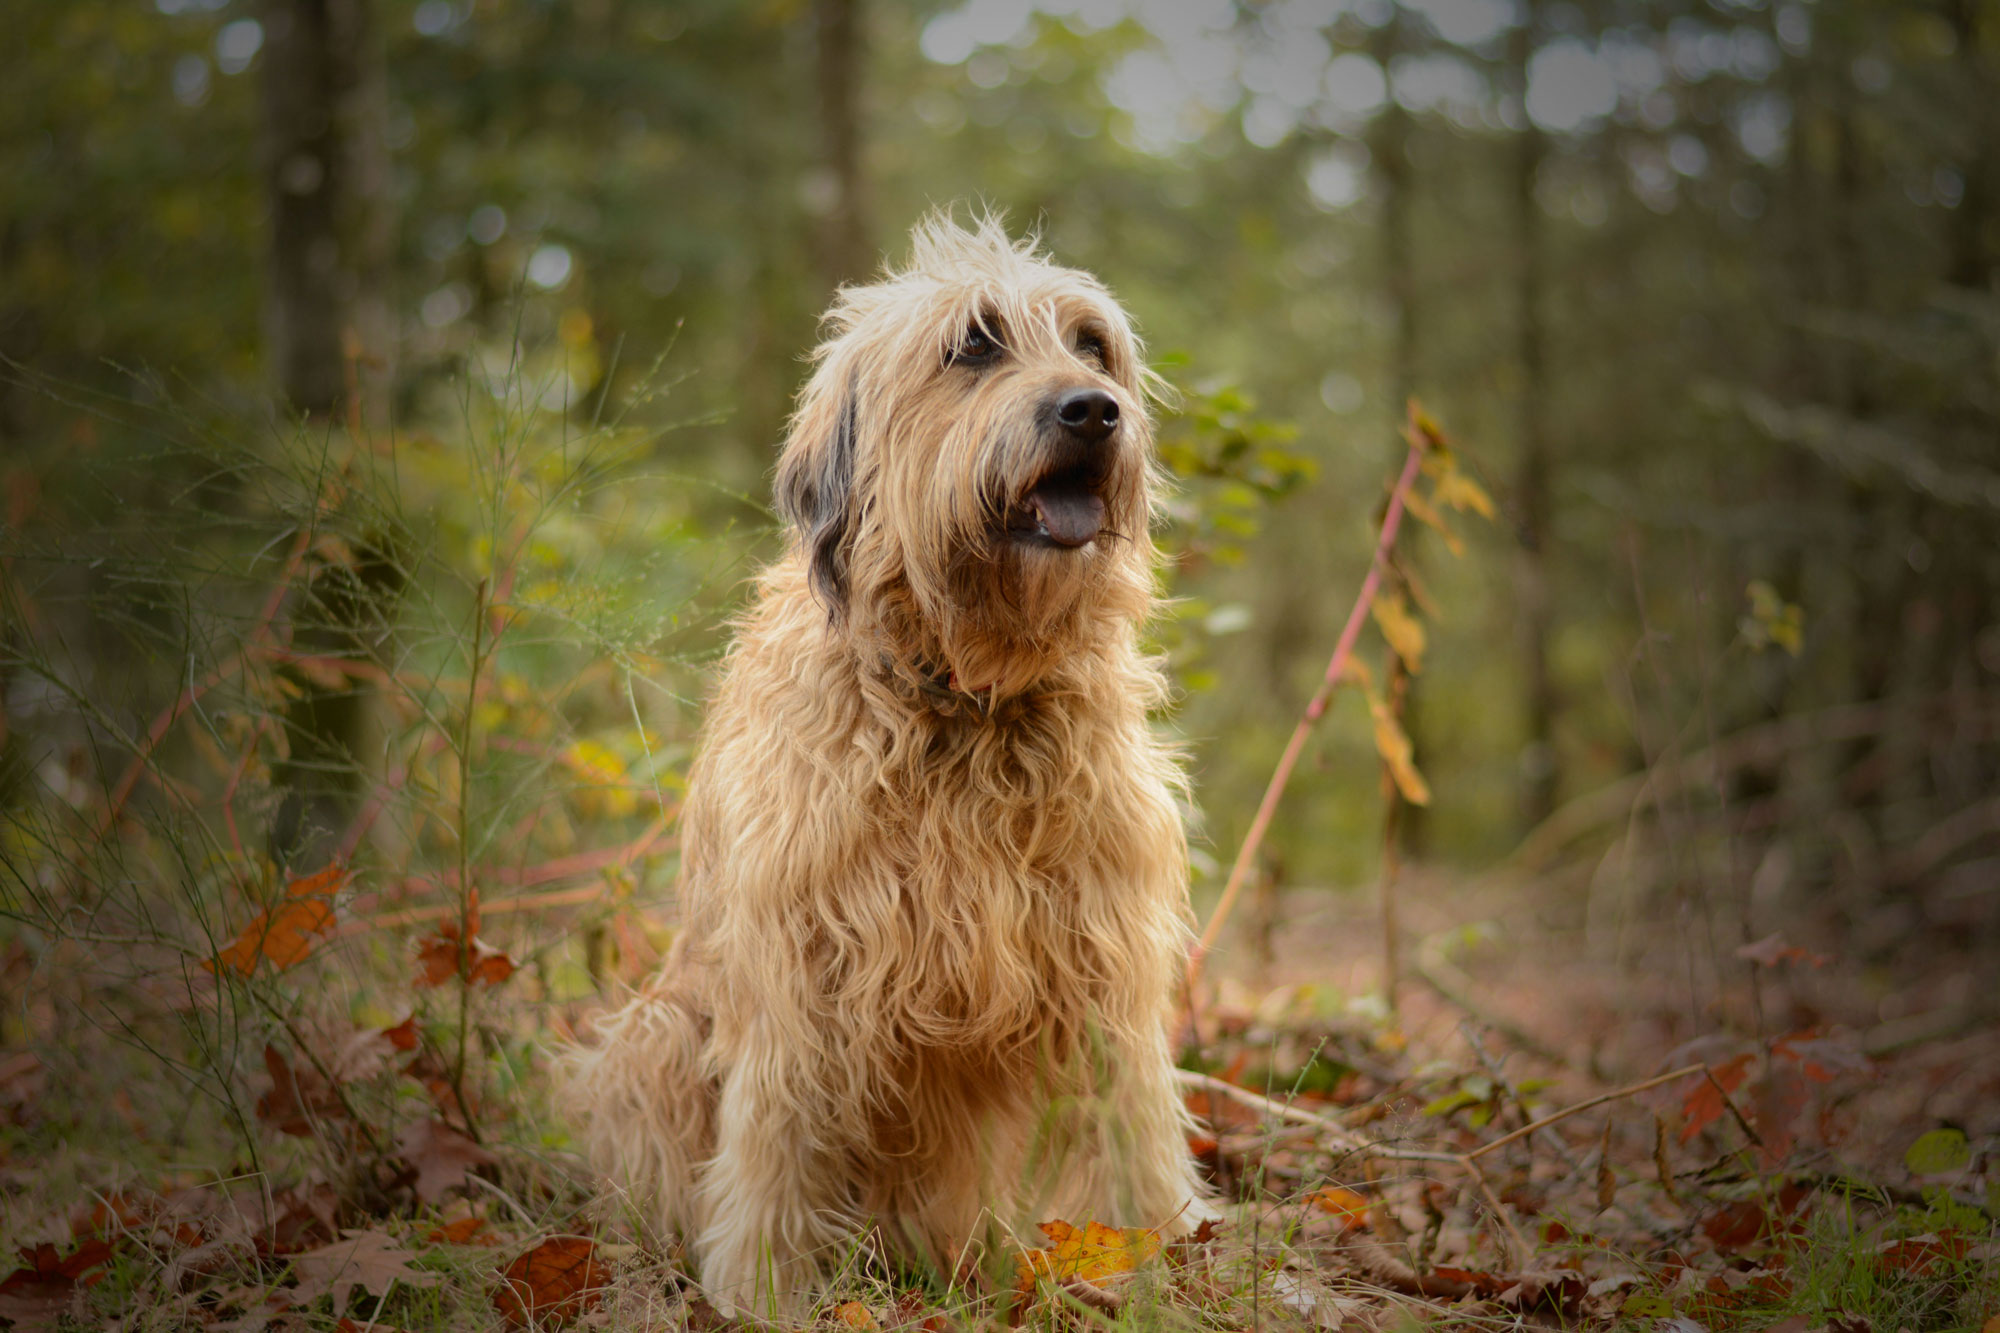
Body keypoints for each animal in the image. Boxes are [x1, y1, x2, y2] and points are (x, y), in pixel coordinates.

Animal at [572, 215, 1208, 1304]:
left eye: (1092, 345)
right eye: (974, 345)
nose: (1093, 411)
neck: (964, 691)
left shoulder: (1101, 955)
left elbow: (1129, 1123)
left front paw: (1155, 1266)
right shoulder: (803, 967)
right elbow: (779, 1131)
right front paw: (765, 1289)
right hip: (651, 1037)